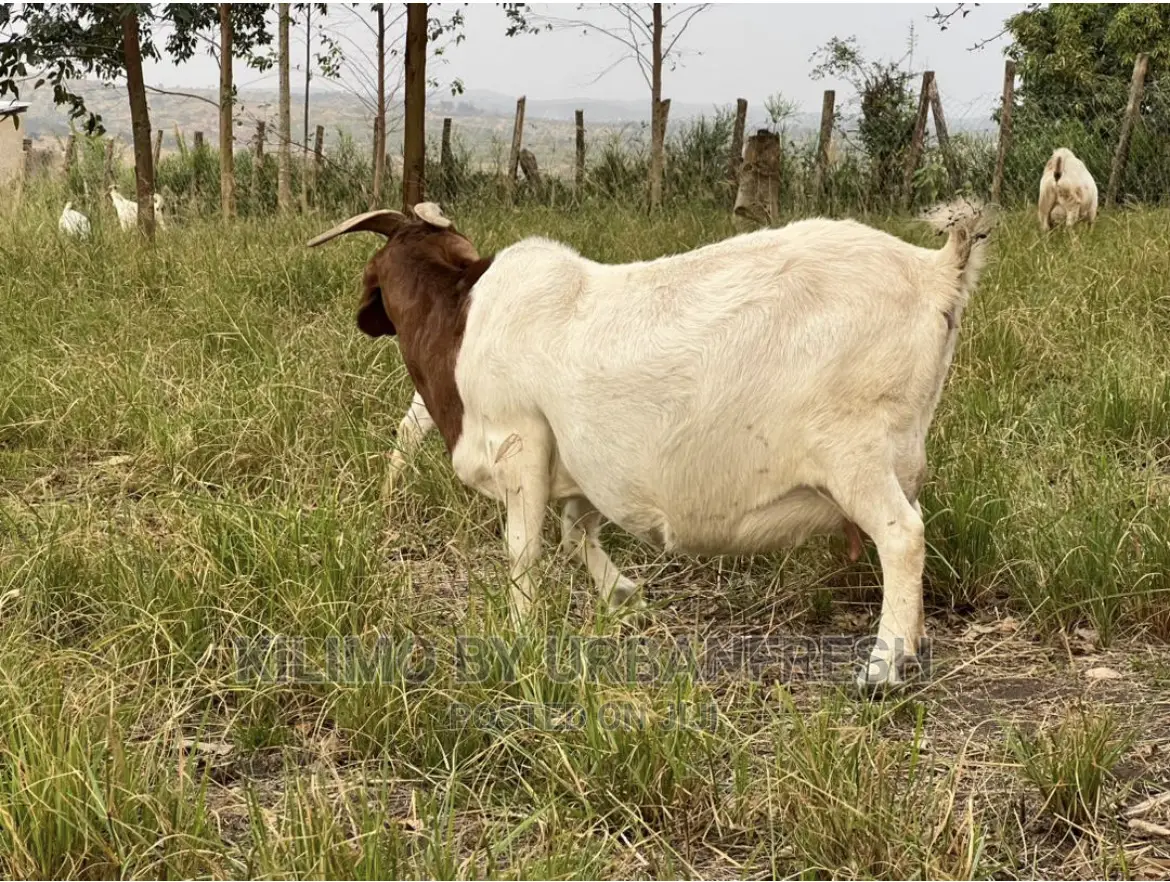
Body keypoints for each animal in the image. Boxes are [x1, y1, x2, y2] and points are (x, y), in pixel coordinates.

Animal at [309, 199, 996, 687]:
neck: (460, 321)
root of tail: (936, 274)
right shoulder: (578, 461)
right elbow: (575, 529)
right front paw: (623, 593)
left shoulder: (521, 440)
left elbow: (524, 549)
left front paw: (521, 632)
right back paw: (913, 644)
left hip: (855, 451)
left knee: (902, 535)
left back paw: (884, 667)